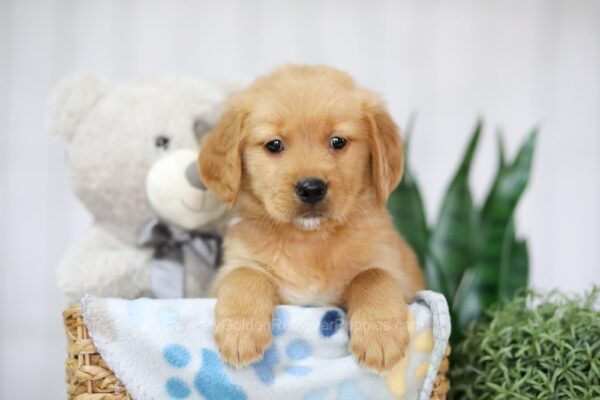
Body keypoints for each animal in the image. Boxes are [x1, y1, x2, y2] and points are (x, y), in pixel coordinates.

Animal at [199, 63, 424, 372]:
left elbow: (373, 275)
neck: (309, 241)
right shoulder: (228, 270)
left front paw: (380, 336)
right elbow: (245, 274)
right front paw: (240, 332)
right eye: (274, 145)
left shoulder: (397, 271)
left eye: (338, 141)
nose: (311, 189)